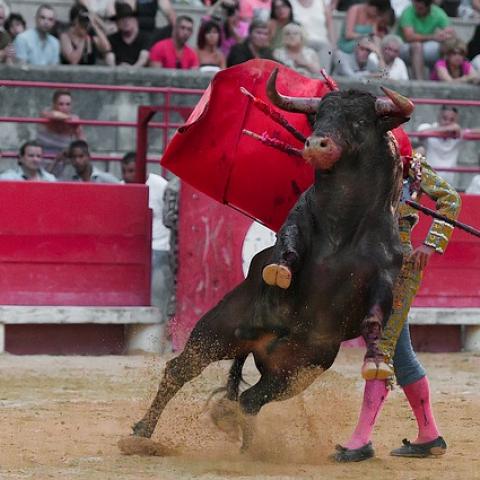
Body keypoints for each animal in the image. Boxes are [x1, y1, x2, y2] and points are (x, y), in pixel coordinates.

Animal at [119, 68, 412, 454]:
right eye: (319, 116)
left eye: (361, 121)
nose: (316, 144)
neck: (343, 223)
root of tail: (259, 345)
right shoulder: (296, 225)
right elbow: (288, 246)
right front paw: (279, 271)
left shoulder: (385, 274)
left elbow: (375, 316)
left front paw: (376, 359)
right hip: (217, 330)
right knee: (180, 371)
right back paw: (141, 432)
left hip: (295, 372)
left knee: (249, 400)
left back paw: (249, 450)